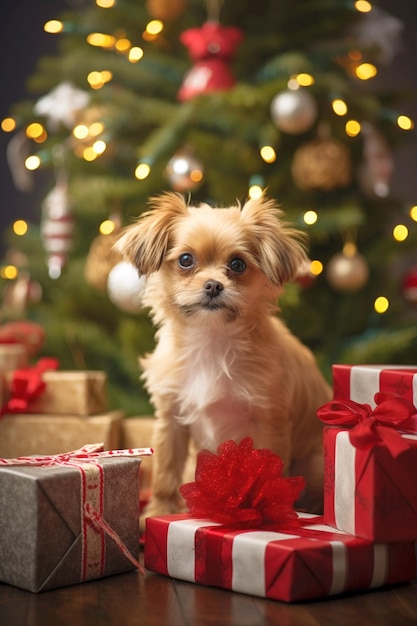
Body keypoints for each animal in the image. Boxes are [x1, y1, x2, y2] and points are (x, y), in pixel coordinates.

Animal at [116, 190, 332, 520]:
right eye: (186, 260)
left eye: (238, 264)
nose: (213, 285)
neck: (211, 338)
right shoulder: (171, 419)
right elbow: (166, 470)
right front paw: (158, 512)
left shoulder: (268, 422)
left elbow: (267, 473)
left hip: (315, 464)